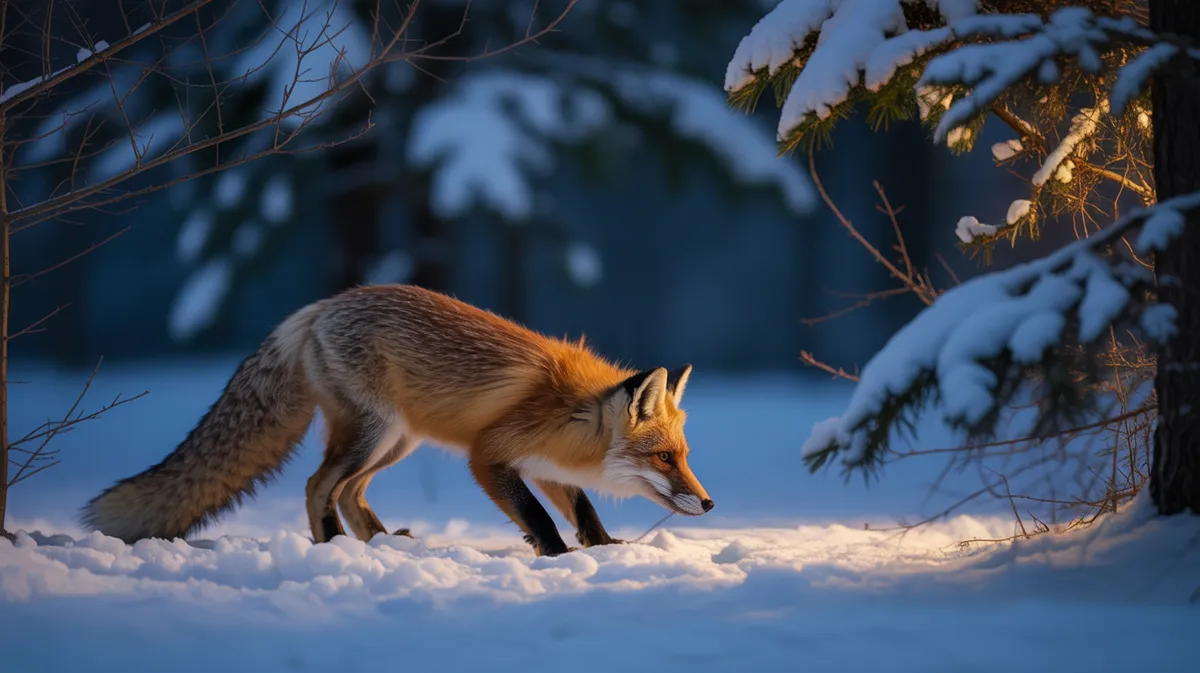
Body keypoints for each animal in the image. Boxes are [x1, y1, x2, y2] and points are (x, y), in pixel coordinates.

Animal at [81, 284, 713, 556]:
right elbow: (539, 516)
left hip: (397, 441)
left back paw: (380, 542)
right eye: (664, 457)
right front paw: (557, 557)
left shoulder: (540, 460)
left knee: (349, 491)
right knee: (319, 485)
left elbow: (581, 509)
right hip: (375, 432)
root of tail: (316, 308)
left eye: (684, 456)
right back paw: (335, 547)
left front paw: (603, 550)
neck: (571, 415)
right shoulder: (489, 455)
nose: (708, 504)